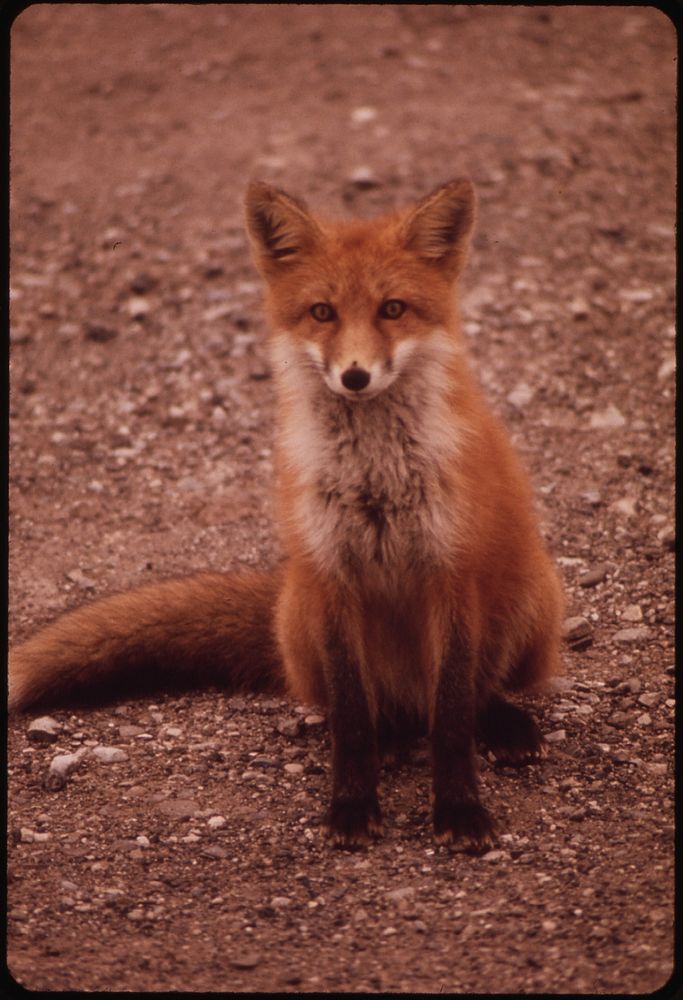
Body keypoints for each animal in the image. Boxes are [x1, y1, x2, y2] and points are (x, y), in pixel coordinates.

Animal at [8, 180, 564, 852]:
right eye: (322, 313)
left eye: (393, 309)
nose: (355, 375)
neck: (376, 483)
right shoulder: (330, 577)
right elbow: (351, 718)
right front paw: (352, 804)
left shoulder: (451, 574)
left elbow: (454, 715)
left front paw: (459, 809)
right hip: (301, 616)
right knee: (376, 714)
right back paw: (396, 737)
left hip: (533, 599)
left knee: (472, 697)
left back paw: (504, 726)